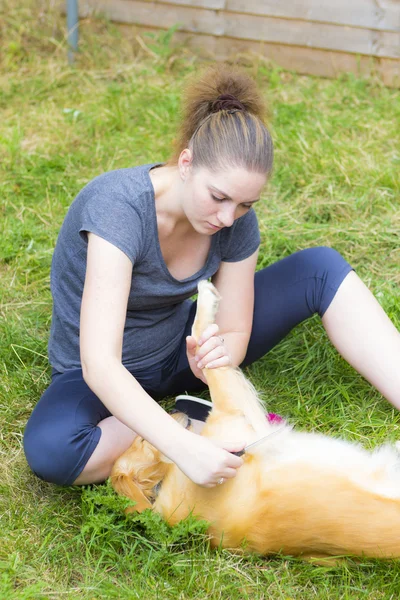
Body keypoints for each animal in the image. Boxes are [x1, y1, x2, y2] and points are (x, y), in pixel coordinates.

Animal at [110, 278, 400, 560]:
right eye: (142, 440)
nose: (172, 411)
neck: (161, 486)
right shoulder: (232, 421)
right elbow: (202, 341)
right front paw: (206, 295)